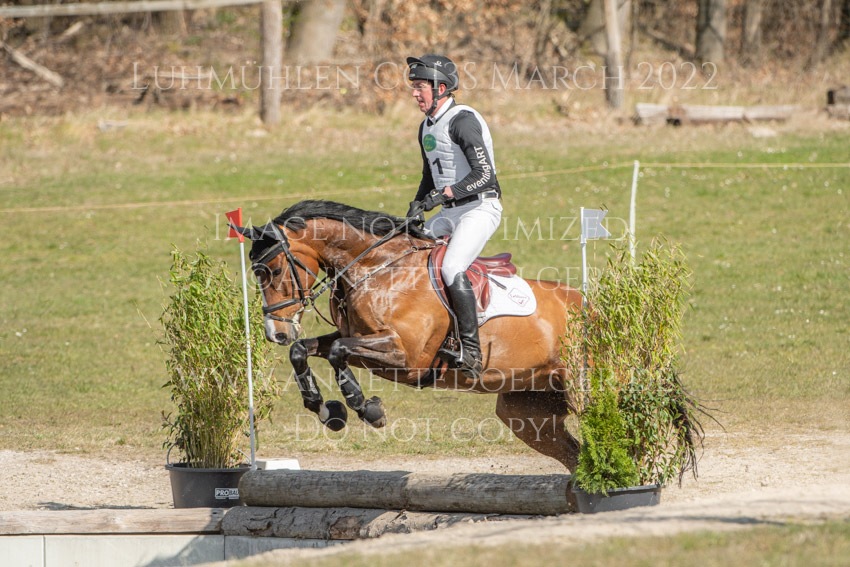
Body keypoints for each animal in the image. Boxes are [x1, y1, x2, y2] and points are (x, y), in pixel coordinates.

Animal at [234, 200, 585, 471]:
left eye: (275, 270)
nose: (276, 333)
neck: (378, 268)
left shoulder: (407, 357)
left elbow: (338, 352)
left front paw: (367, 408)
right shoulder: (361, 339)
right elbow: (303, 350)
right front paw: (325, 410)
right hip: (526, 409)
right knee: (573, 455)